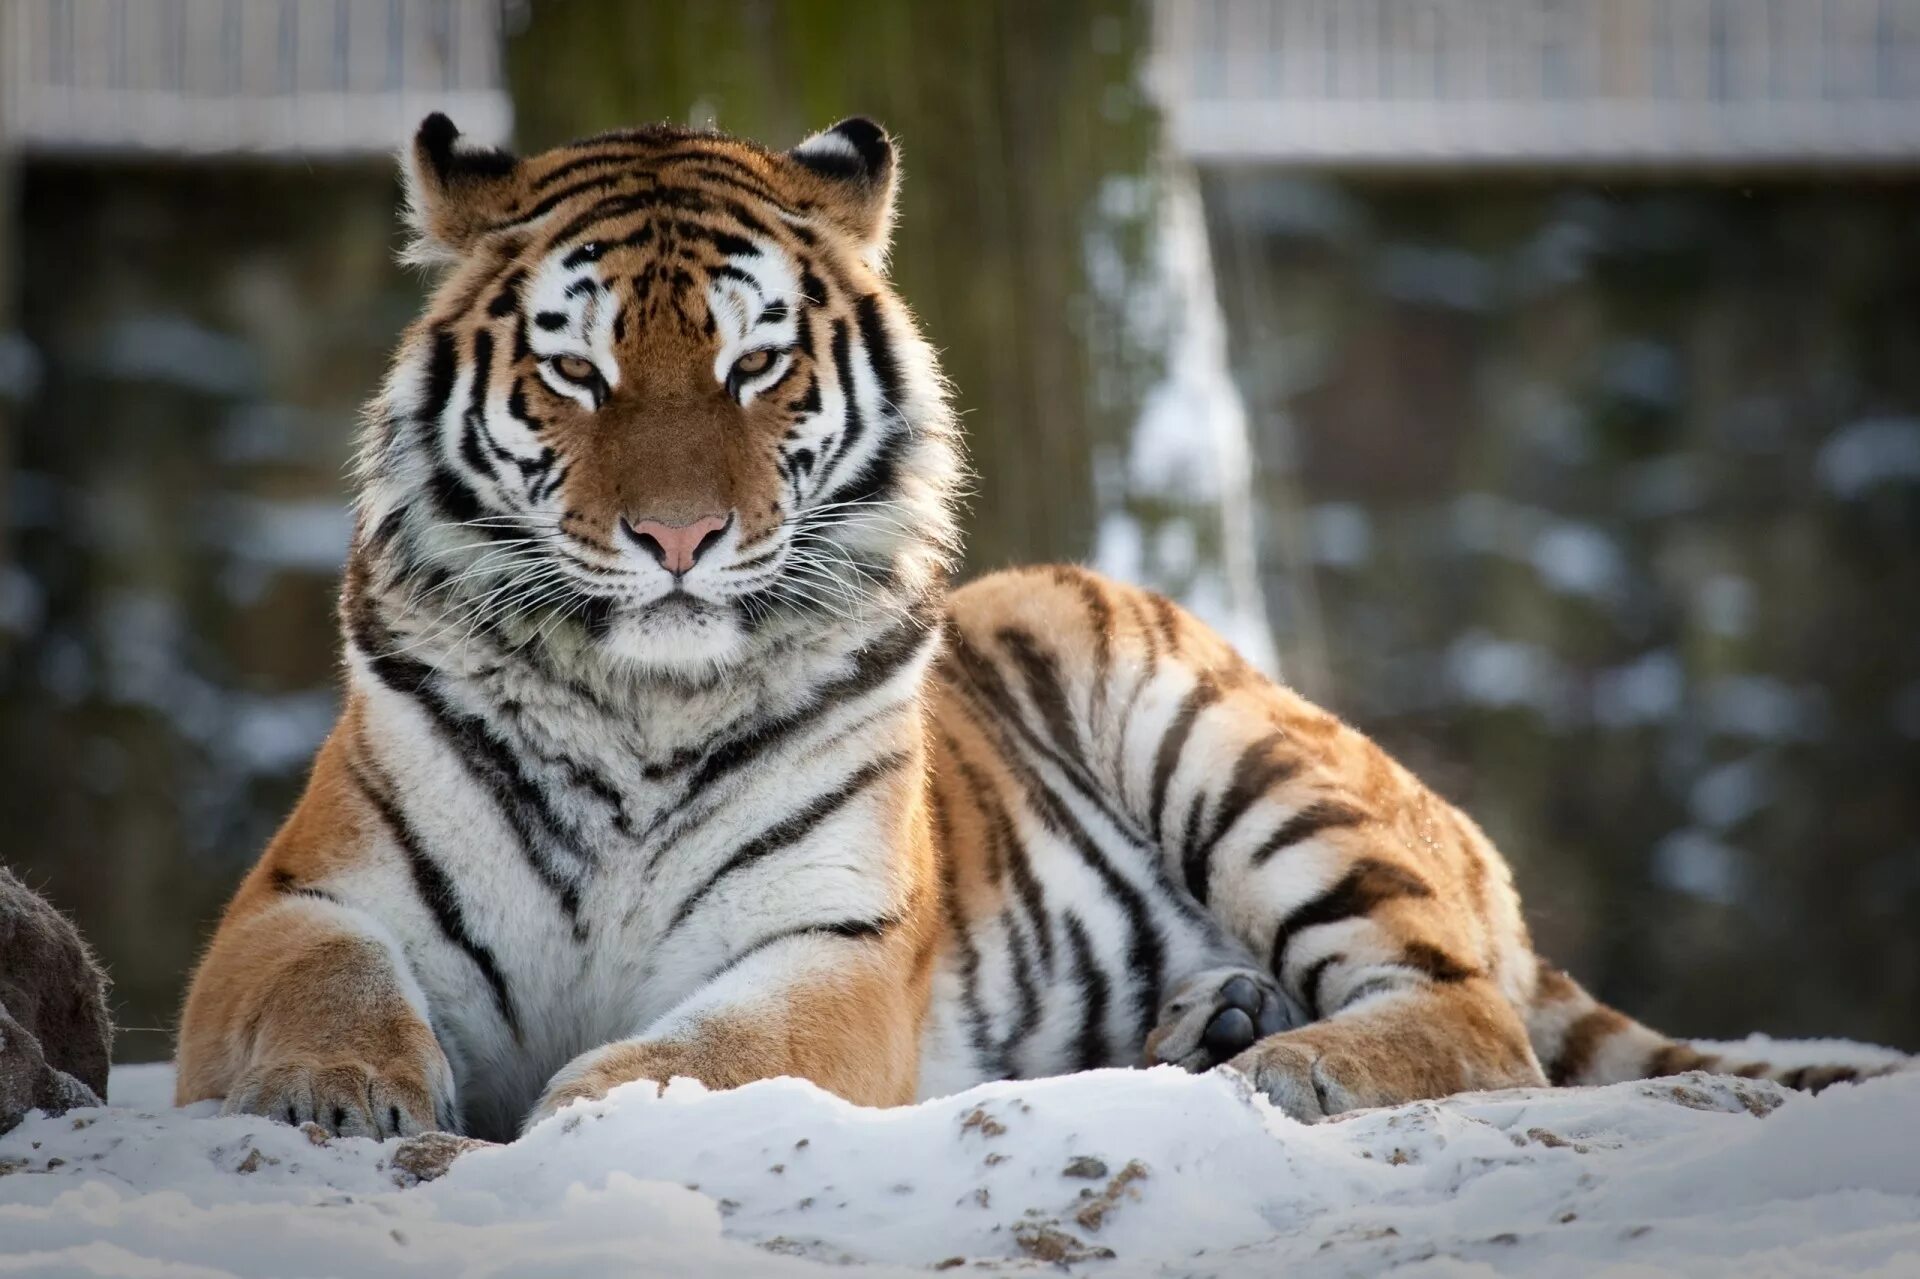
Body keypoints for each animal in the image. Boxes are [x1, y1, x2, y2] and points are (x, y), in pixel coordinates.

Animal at [172, 114, 1896, 1136]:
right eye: (576, 370)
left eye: (752, 364)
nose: (675, 538)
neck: (637, 701)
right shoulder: (304, 893)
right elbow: (320, 986)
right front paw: (343, 1094)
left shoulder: (828, 952)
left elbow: (672, 1057)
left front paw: (585, 1117)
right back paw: (1208, 1022)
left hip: (1233, 747)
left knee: (1473, 1014)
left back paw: (1287, 1059)